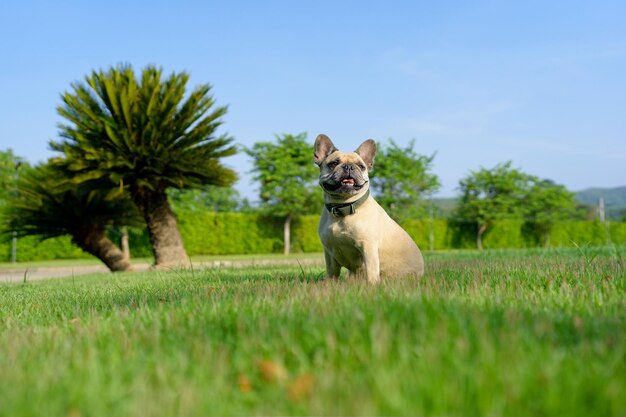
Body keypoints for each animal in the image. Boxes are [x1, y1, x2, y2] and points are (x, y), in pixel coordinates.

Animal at [314, 133, 422, 282]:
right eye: (333, 163)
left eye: (361, 166)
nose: (349, 167)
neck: (343, 207)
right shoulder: (329, 251)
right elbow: (331, 273)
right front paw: (329, 285)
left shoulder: (368, 247)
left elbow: (371, 271)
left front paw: (372, 285)